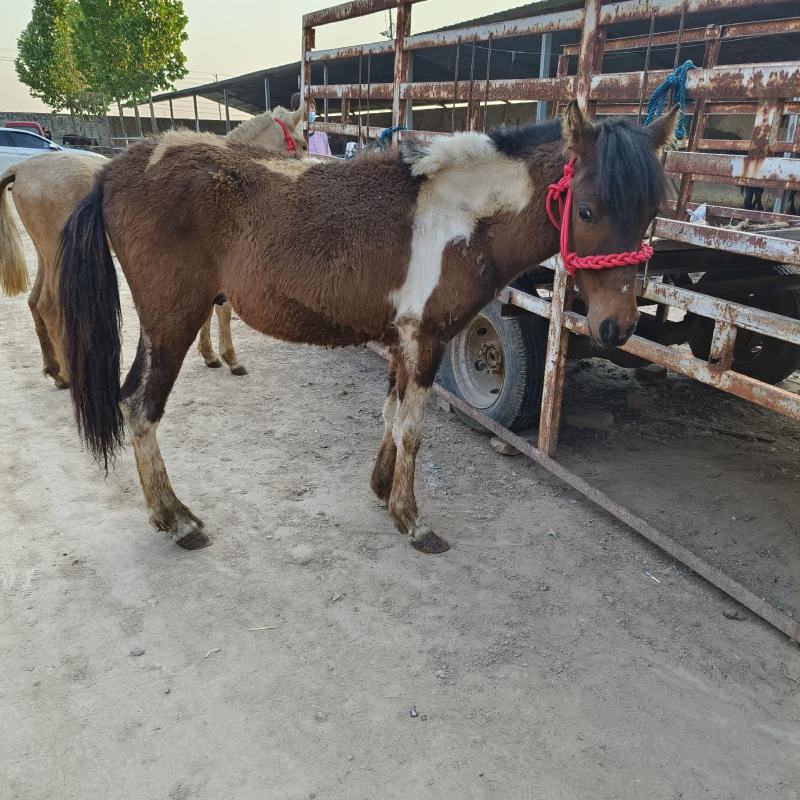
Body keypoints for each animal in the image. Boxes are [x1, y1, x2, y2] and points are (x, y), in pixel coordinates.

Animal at [0, 106, 305, 387]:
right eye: (302, 142)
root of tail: (21, 169)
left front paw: (210, 355)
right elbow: (222, 310)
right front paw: (231, 358)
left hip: (46, 253)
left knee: (35, 302)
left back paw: (55, 370)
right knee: (50, 306)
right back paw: (68, 374)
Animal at [57, 101, 678, 553]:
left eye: (650, 214)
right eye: (588, 210)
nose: (616, 326)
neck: (459, 217)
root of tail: (113, 171)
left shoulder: (403, 341)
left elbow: (391, 416)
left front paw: (383, 492)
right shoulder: (425, 340)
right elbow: (414, 430)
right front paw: (413, 520)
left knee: (128, 400)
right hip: (173, 322)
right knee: (141, 409)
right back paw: (178, 520)